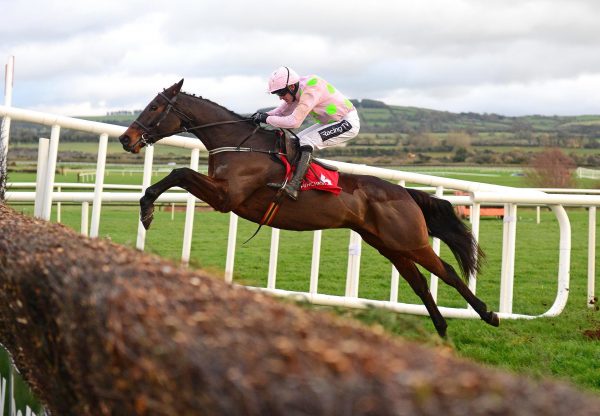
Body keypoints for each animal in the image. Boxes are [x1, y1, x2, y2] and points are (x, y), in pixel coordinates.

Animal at [116, 79, 496, 336]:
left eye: (154, 107)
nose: (126, 138)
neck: (241, 145)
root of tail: (405, 194)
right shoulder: (223, 195)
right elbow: (178, 174)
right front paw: (146, 207)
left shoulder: (226, 198)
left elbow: (179, 172)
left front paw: (147, 210)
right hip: (389, 245)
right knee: (419, 283)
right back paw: (442, 330)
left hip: (410, 241)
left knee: (448, 271)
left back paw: (487, 314)